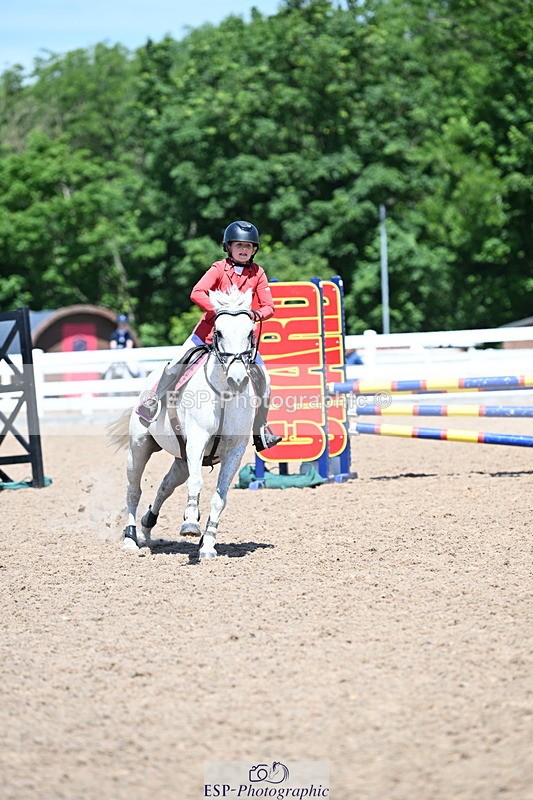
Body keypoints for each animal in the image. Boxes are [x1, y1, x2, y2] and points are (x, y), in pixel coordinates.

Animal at [107, 287, 258, 560]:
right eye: (219, 332)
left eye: (250, 332)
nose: (238, 380)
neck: (224, 394)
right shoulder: (197, 440)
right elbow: (197, 483)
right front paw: (189, 524)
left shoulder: (234, 450)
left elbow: (219, 498)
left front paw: (207, 545)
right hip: (139, 448)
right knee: (134, 489)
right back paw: (131, 538)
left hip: (181, 460)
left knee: (165, 487)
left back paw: (146, 530)